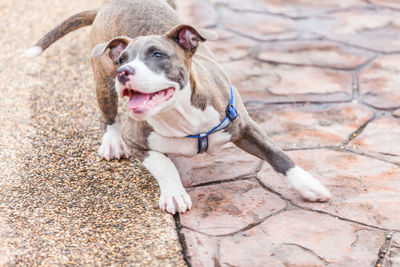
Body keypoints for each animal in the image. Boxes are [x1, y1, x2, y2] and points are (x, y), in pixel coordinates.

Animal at [25, 0, 332, 215]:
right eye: (123, 59)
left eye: (158, 55)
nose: (123, 71)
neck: (182, 117)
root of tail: (106, 6)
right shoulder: (136, 140)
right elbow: (164, 164)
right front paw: (174, 193)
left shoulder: (244, 126)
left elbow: (279, 155)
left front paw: (308, 184)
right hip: (102, 81)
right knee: (109, 116)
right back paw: (111, 142)